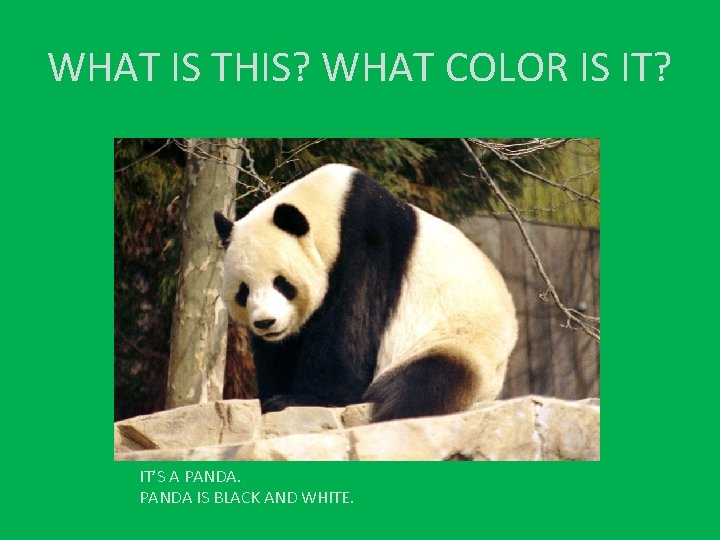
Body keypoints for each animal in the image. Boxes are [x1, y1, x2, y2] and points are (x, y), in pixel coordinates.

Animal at [214, 164, 517, 422]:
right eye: (243, 291)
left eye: (281, 283)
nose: (265, 322)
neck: (331, 208)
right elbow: (280, 350)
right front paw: (273, 396)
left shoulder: (366, 247)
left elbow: (350, 329)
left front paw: (302, 399)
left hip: (455, 341)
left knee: (425, 385)